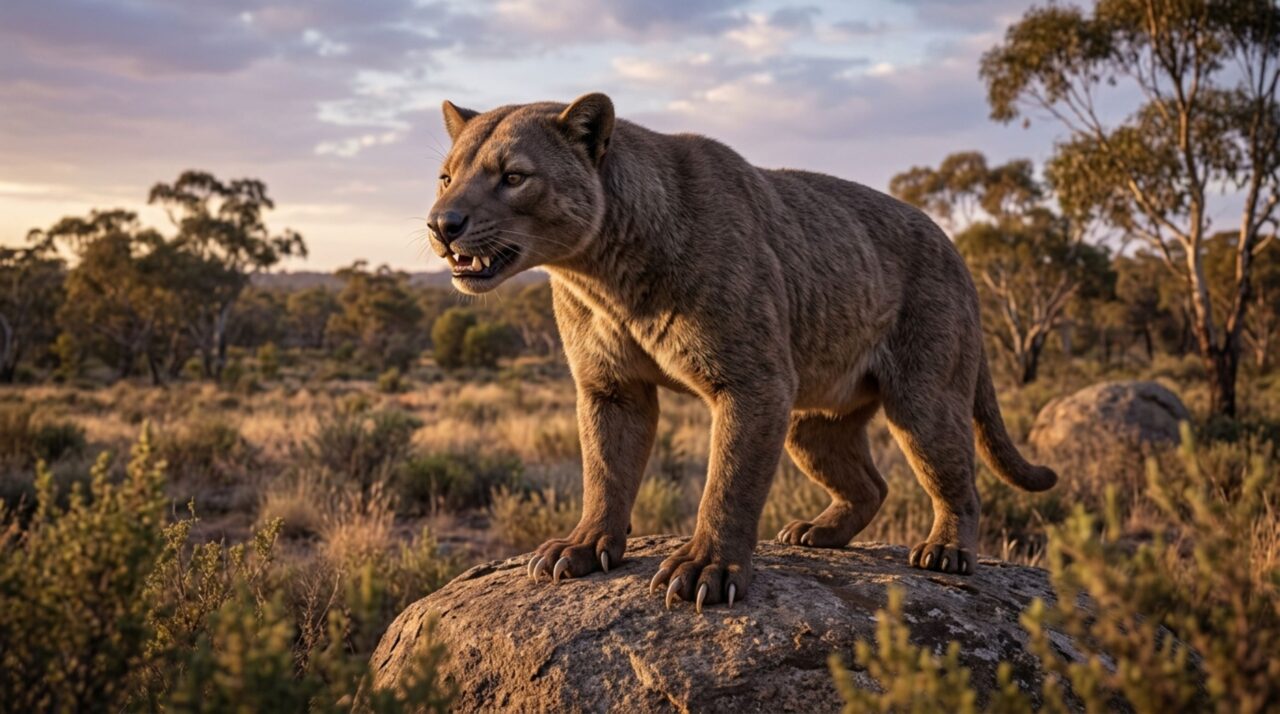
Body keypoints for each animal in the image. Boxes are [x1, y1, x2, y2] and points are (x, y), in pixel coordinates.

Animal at [424, 93, 1057, 613]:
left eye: (513, 176)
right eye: (446, 176)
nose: (441, 223)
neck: (602, 275)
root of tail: (957, 251)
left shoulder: (751, 383)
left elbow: (728, 481)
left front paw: (706, 570)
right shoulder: (613, 388)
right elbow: (604, 470)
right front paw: (582, 548)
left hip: (923, 400)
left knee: (957, 481)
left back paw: (945, 552)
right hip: (811, 423)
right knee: (872, 485)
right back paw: (817, 534)